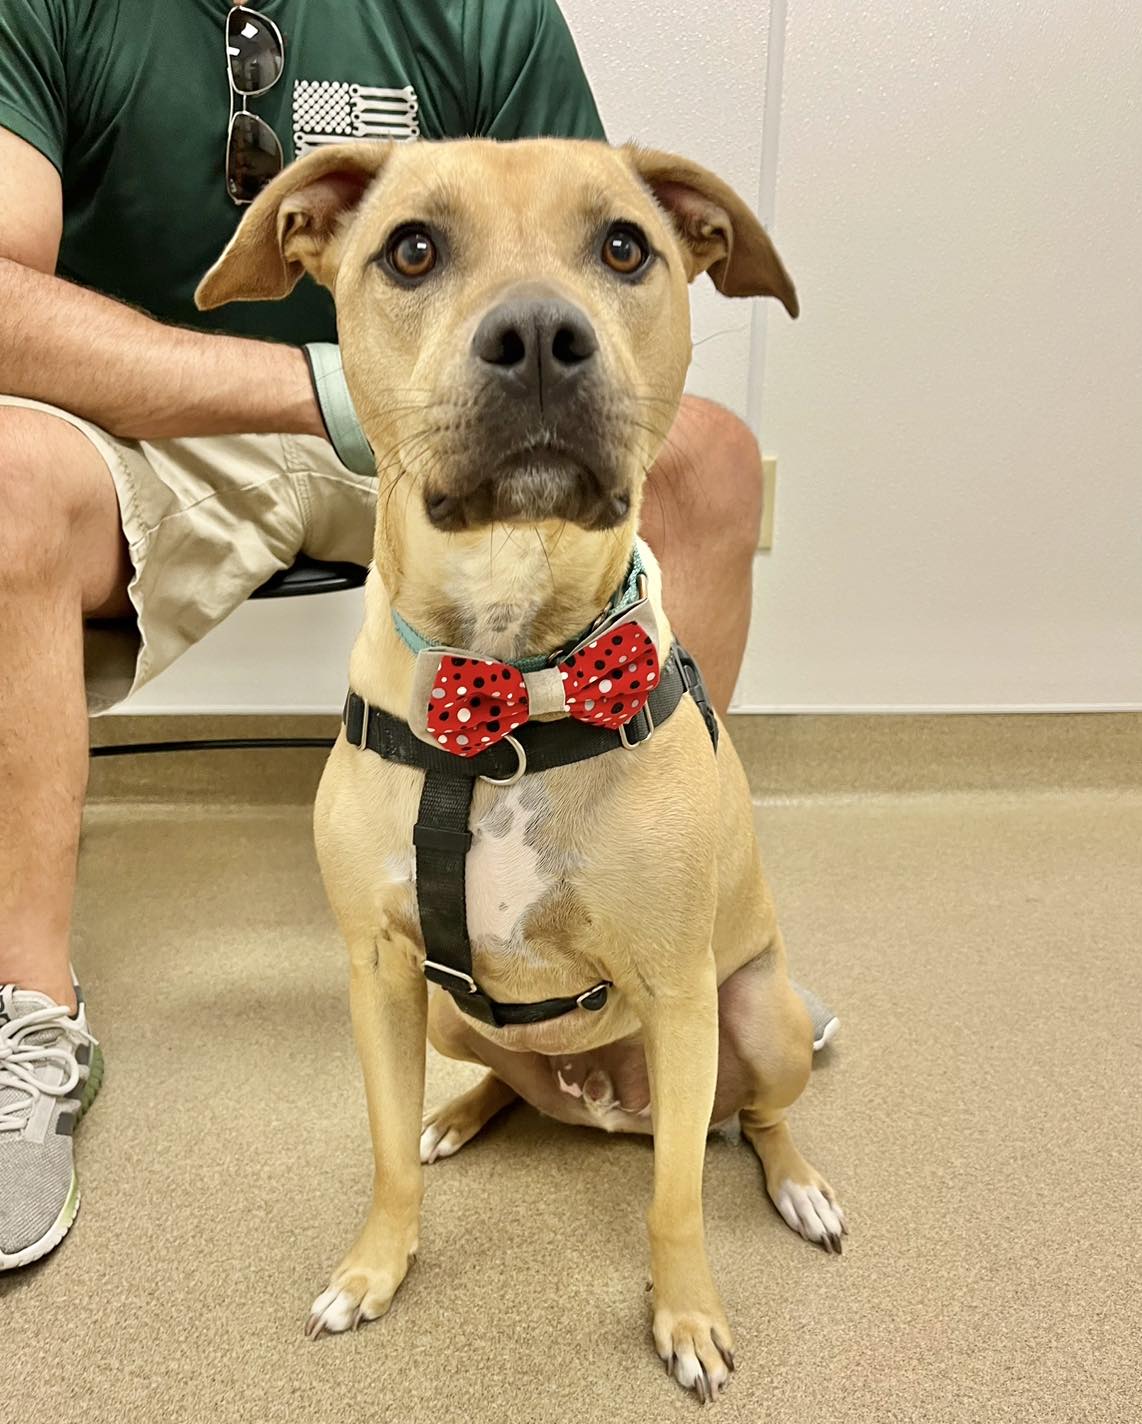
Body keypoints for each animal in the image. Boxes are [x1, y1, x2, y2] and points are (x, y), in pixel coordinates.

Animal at [196, 135, 842, 1401]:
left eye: (623, 246)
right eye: (410, 249)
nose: (539, 333)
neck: (507, 686)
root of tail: (605, 1106)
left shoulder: (681, 991)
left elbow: (677, 1201)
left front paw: (686, 1315)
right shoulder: (378, 969)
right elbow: (384, 1156)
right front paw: (376, 1264)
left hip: (760, 1013)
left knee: (752, 1119)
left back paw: (796, 1183)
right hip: (452, 1015)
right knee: (501, 1069)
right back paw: (462, 1109)